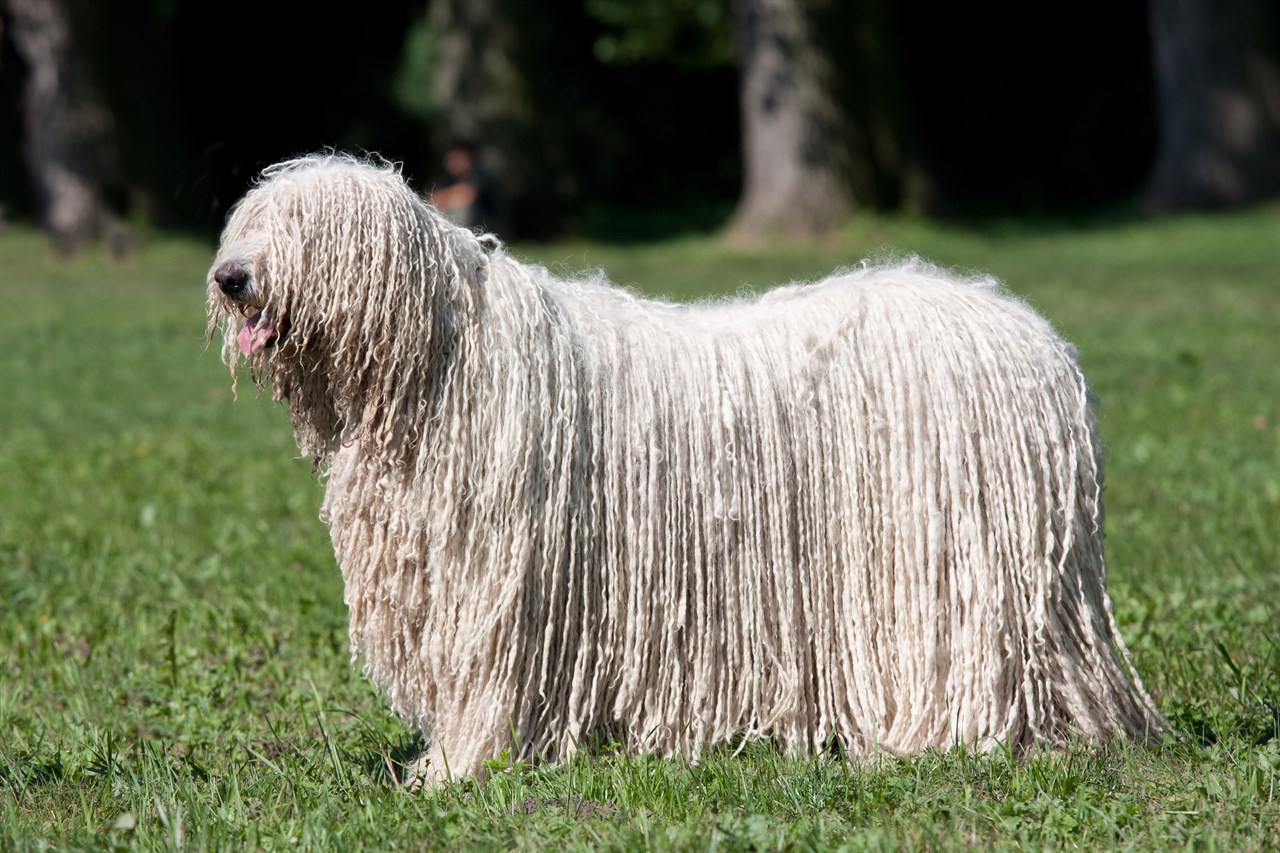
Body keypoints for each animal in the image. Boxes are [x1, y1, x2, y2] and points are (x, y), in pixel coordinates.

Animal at [207, 154, 1172, 783]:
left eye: (305, 226)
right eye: (247, 224)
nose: (230, 277)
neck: (439, 359)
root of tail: (1040, 345)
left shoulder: (505, 581)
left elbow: (485, 681)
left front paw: (457, 768)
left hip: (950, 562)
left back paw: (931, 739)